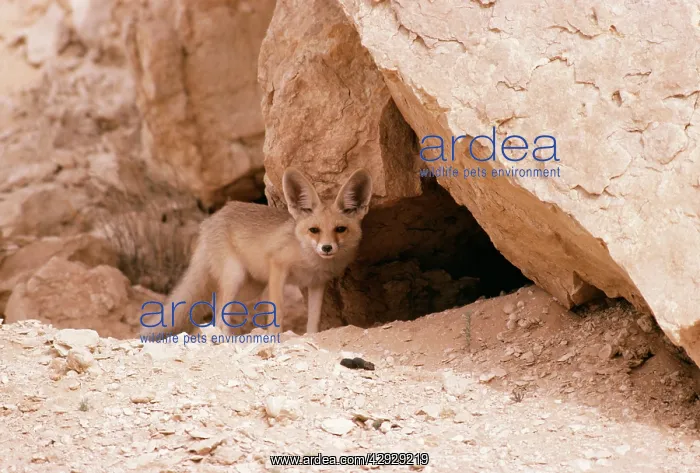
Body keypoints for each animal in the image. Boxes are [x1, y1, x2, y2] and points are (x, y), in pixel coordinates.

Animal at [141, 167, 373, 337]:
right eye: (314, 230)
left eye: (340, 229)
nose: (326, 247)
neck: (310, 260)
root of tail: (211, 218)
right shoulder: (278, 268)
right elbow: (278, 311)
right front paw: (275, 338)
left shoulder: (317, 283)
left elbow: (314, 319)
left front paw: (312, 338)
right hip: (235, 276)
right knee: (221, 310)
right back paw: (225, 339)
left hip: (250, 287)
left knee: (215, 306)